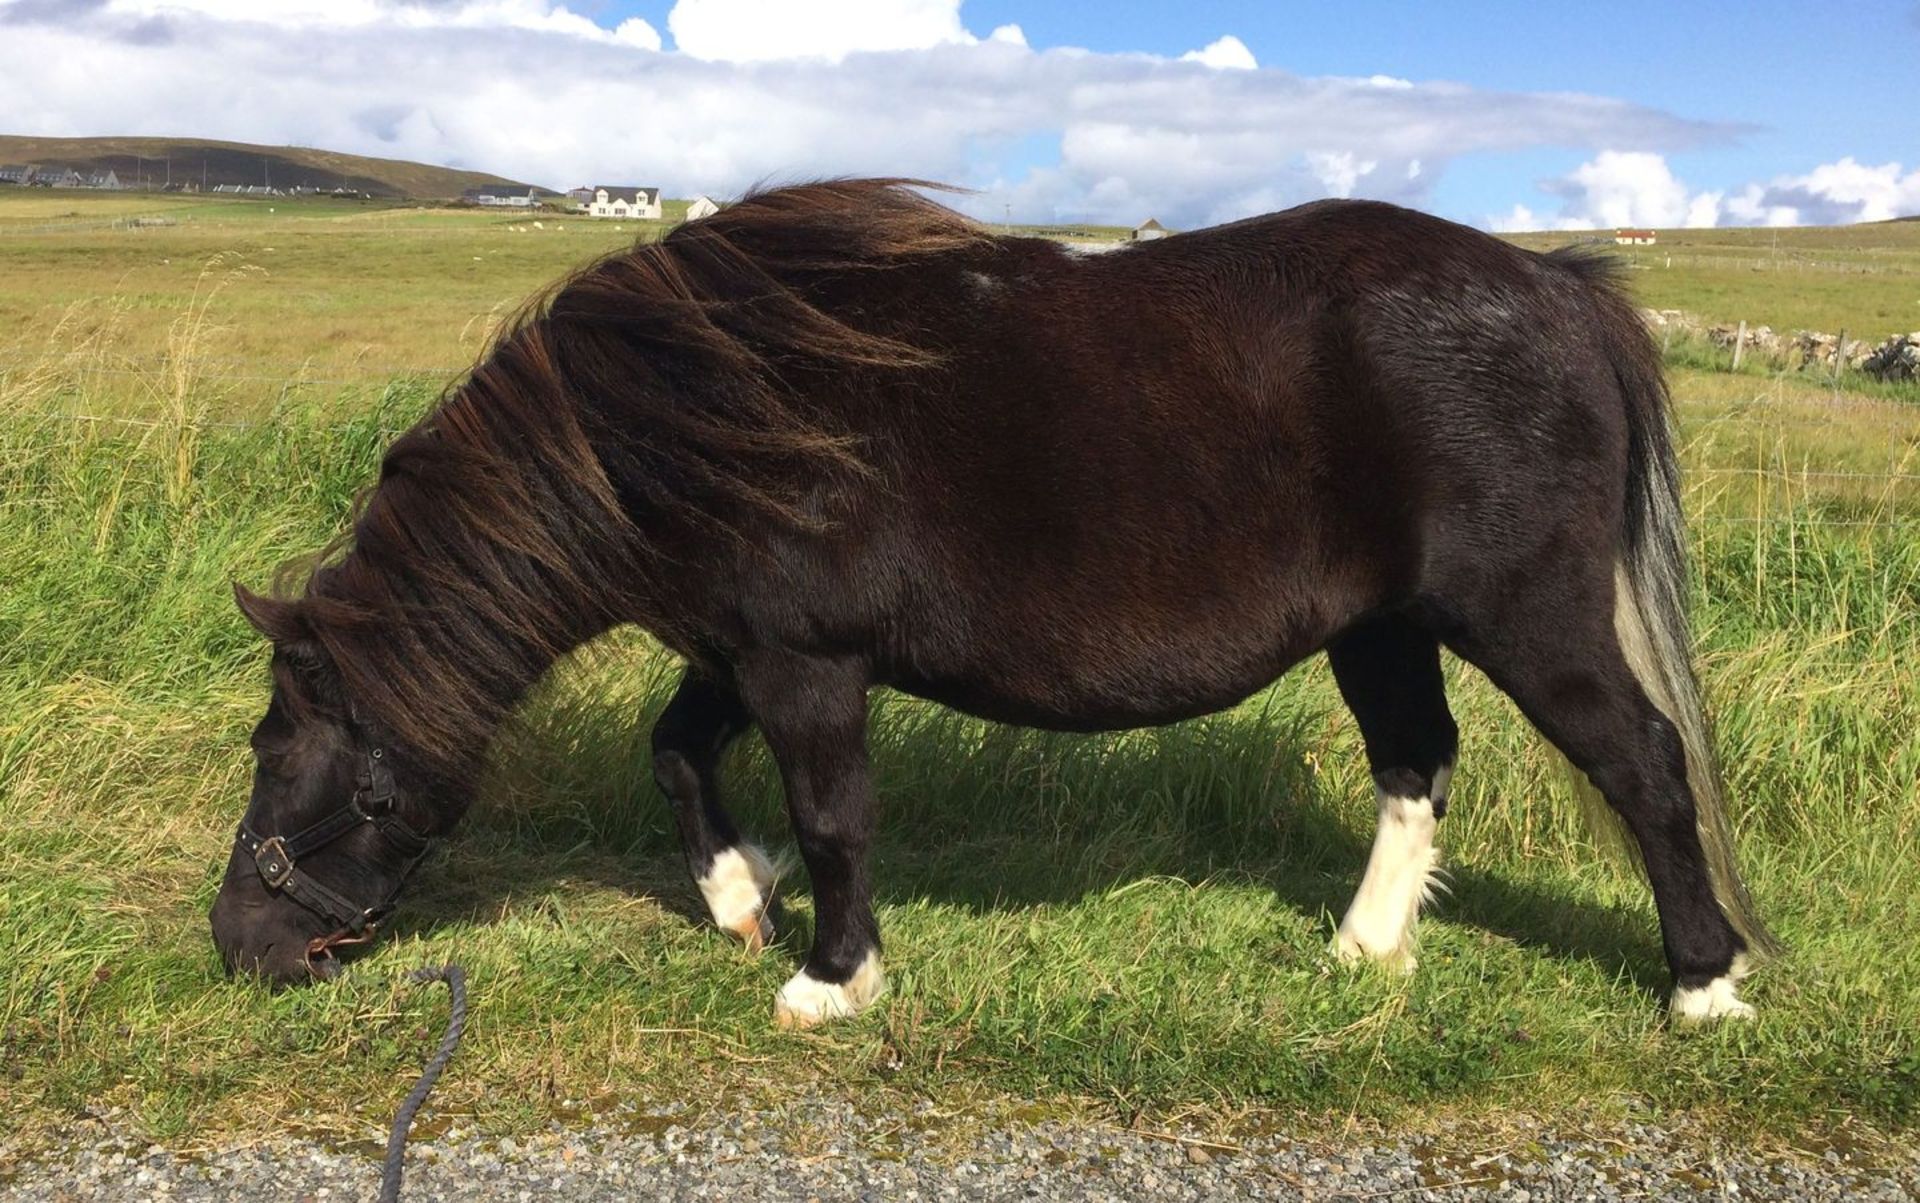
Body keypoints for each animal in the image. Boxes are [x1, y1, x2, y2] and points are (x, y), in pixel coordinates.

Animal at [210, 178, 1766, 1028]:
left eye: (284, 762)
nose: (238, 949)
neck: (693, 410)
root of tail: (1558, 290)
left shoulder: (807, 663)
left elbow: (836, 817)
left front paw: (833, 976)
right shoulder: (740, 648)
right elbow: (677, 751)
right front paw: (738, 899)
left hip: (1528, 616)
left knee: (1644, 764)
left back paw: (1702, 981)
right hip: (1378, 628)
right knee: (1416, 763)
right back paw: (1363, 947)